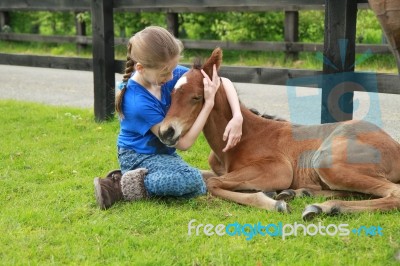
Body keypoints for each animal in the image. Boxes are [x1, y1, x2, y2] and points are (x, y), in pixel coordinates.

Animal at [159, 47, 400, 220]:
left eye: (197, 97)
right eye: (170, 94)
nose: (165, 131)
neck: (241, 138)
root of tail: (395, 145)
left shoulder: (278, 169)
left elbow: (213, 184)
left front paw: (273, 202)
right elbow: (204, 177)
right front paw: (278, 195)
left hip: (327, 161)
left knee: (393, 193)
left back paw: (325, 207)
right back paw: (301, 195)